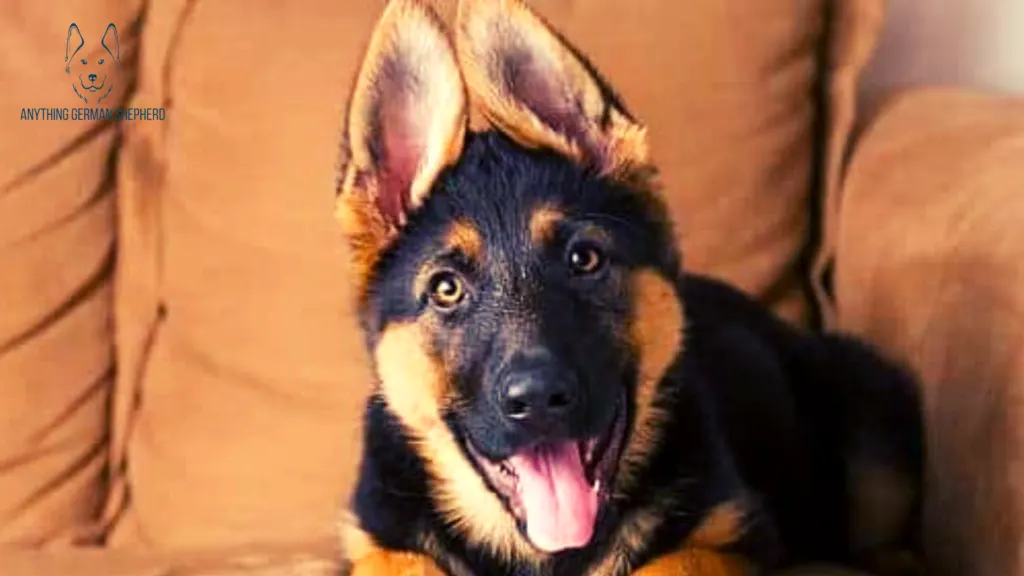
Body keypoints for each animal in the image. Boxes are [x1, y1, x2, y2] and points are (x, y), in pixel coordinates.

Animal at [333, 1, 921, 573]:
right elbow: (405, 561)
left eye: (584, 259)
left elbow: (671, 561)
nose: (538, 400)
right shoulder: (376, 540)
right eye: (446, 289)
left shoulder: (732, 531)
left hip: (870, 412)